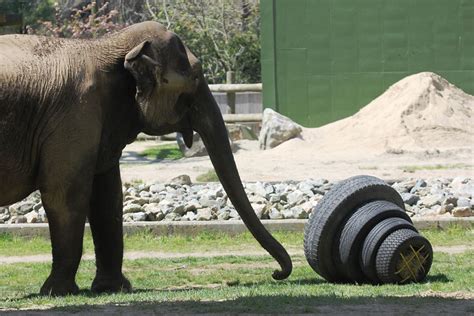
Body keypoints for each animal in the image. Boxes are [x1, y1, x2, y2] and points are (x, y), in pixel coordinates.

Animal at [0, 22, 292, 296]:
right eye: (195, 77)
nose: (277, 273)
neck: (105, 45)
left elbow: (108, 197)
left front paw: (113, 288)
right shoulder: (74, 115)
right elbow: (64, 194)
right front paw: (59, 292)